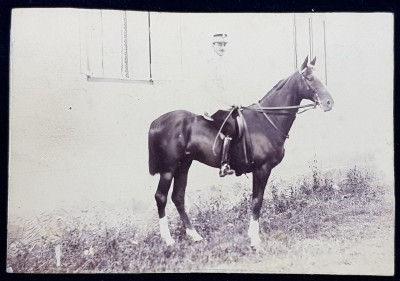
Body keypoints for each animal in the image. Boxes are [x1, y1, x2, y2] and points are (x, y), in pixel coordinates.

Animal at [148, 55, 332, 246]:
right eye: (309, 78)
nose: (329, 103)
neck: (266, 120)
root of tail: (156, 122)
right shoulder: (262, 169)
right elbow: (257, 200)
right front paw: (254, 238)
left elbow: (256, 200)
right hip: (168, 169)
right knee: (161, 197)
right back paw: (168, 239)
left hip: (183, 166)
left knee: (178, 197)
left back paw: (194, 234)